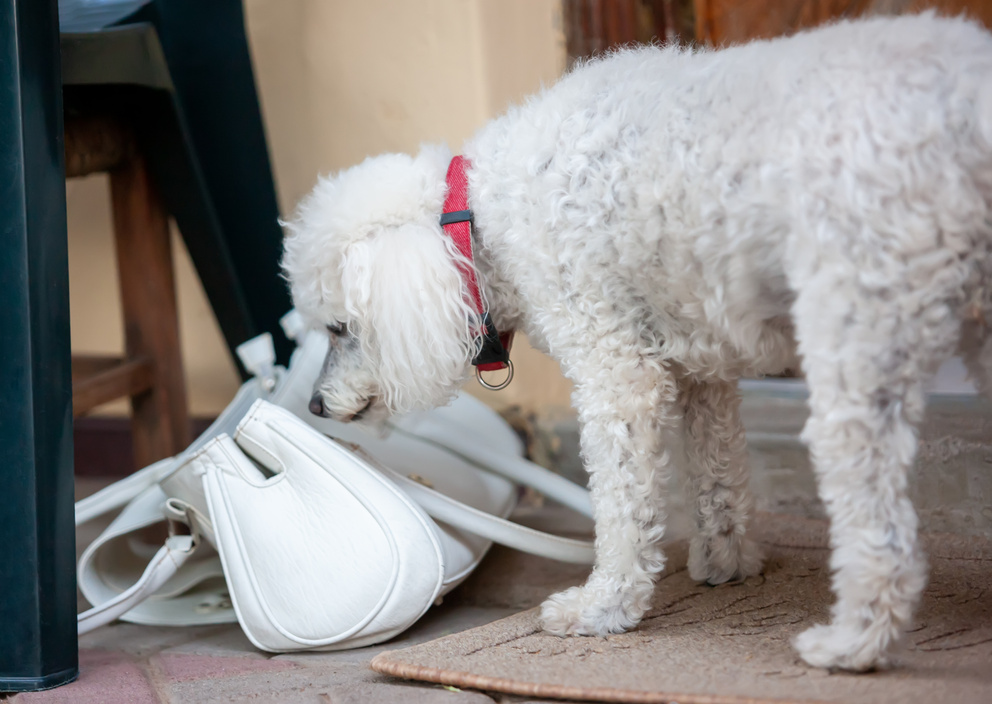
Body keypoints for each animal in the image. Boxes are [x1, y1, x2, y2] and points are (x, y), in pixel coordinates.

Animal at [280, 12, 992, 672]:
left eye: (340, 327)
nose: (313, 406)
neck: (479, 215)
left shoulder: (616, 370)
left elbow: (622, 504)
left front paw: (603, 607)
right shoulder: (705, 365)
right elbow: (717, 472)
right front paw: (726, 561)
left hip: (858, 338)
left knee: (879, 522)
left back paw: (854, 644)